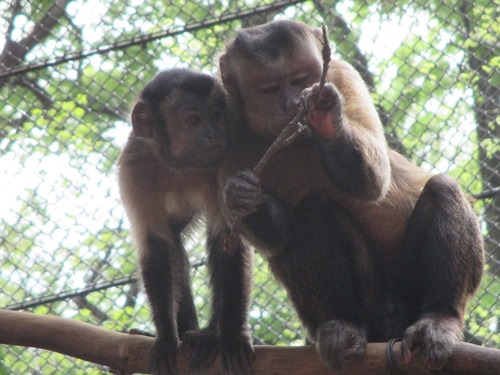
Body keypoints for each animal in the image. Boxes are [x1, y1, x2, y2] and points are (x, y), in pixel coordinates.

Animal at [117, 69, 242, 374]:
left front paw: (227, 335)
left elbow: (228, 237)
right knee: (173, 244)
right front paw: (166, 337)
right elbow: (156, 245)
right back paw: (185, 334)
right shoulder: (133, 166)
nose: (212, 134)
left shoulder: (226, 155)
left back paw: (207, 335)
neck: (178, 165)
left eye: (216, 115)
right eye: (193, 120)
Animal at [214, 19, 480, 374]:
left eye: (300, 80)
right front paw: (239, 196)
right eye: (270, 88)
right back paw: (344, 325)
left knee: (442, 188)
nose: (292, 103)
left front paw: (326, 116)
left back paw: (439, 317)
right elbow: (276, 236)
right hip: (364, 306)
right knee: (311, 212)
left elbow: (375, 180)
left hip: (410, 292)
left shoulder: (341, 74)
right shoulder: (220, 118)